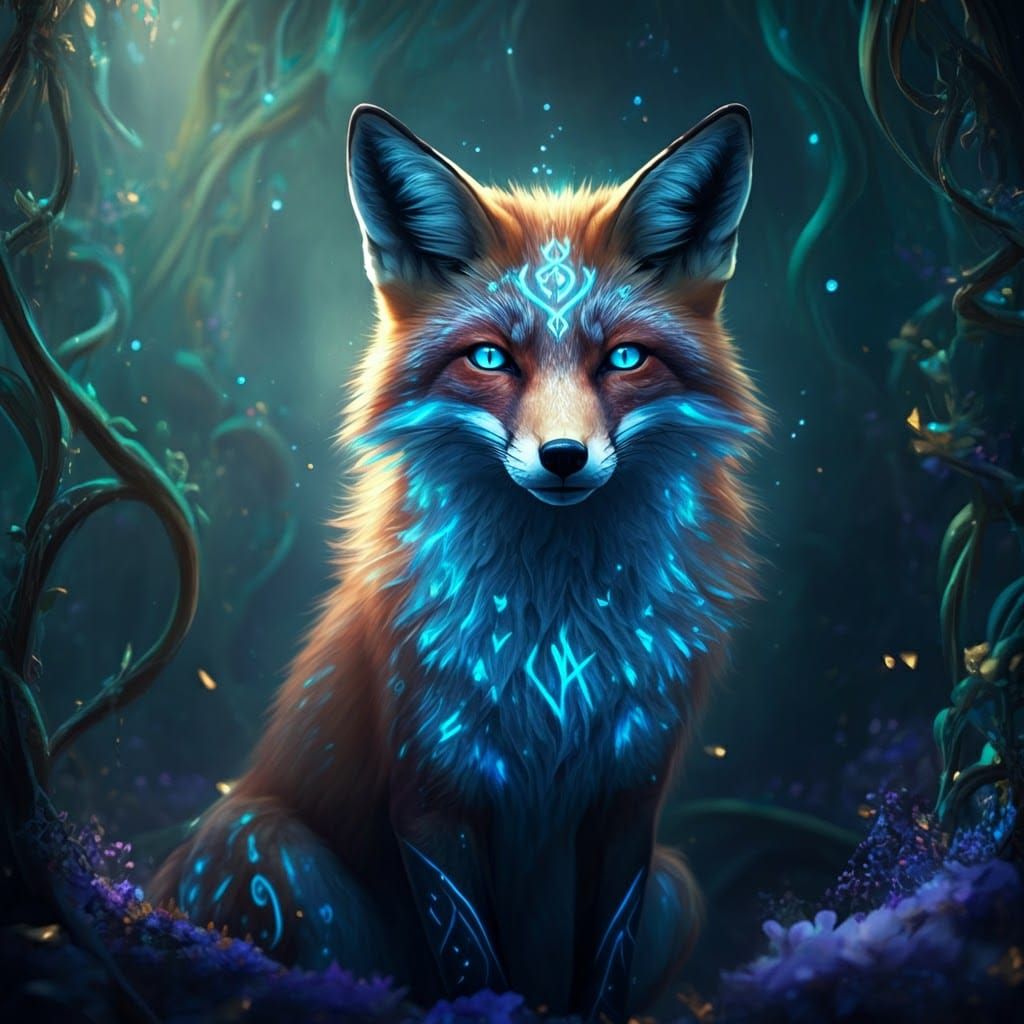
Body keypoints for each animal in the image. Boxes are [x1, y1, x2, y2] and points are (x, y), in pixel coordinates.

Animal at [151, 102, 765, 1021]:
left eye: (623, 358)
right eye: (489, 358)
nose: (562, 458)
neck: (557, 637)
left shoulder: (631, 796)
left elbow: (604, 974)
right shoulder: (430, 786)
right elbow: (473, 965)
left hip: (677, 889)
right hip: (263, 844)